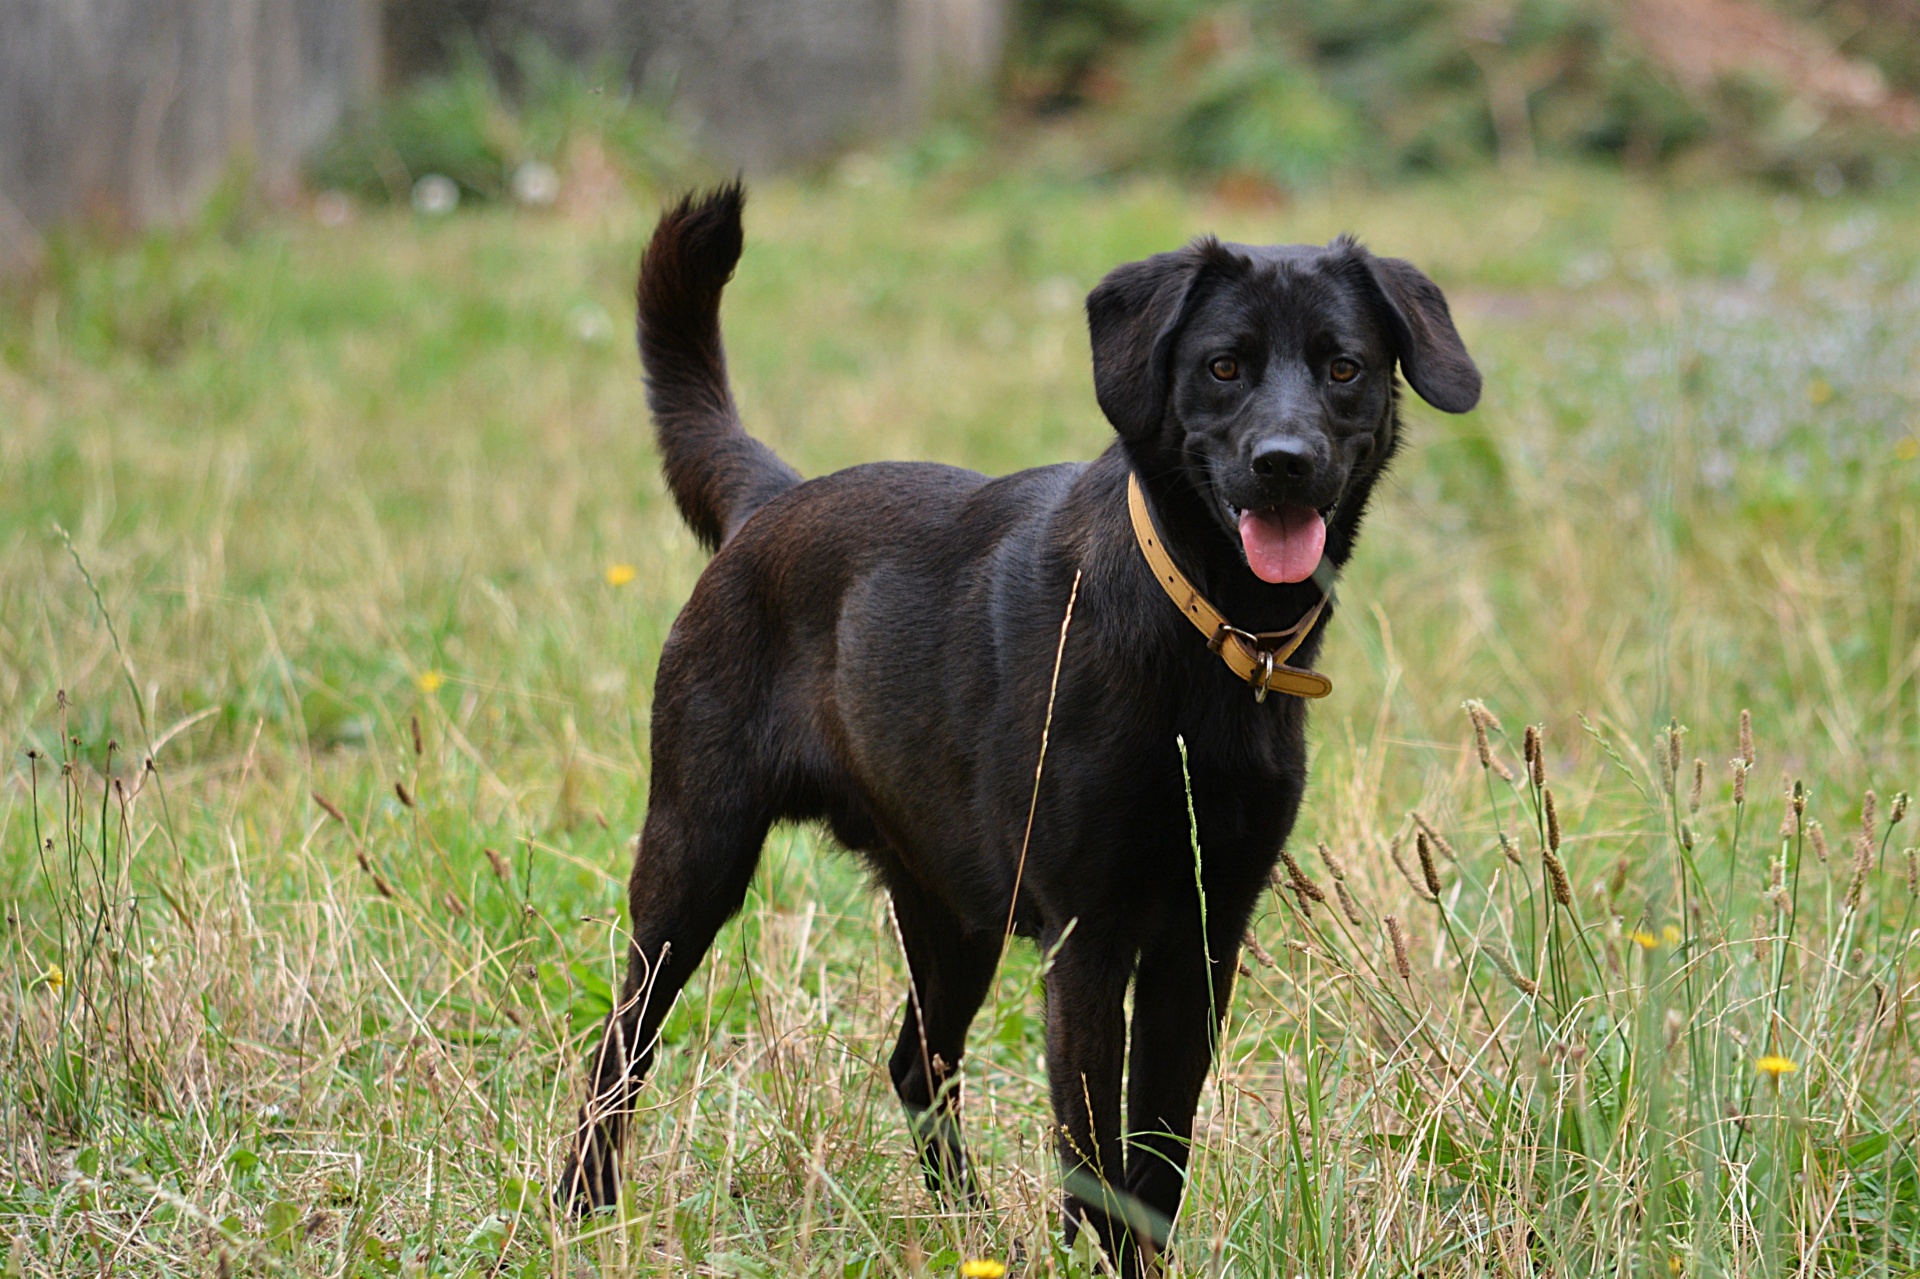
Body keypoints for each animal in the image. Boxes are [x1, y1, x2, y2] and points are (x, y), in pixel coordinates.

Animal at [560, 181, 1474, 1267]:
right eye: (1223, 365)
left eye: (1344, 367)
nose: (1284, 463)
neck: (1198, 627)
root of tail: (770, 505)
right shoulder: (1088, 941)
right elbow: (1093, 1148)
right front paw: (1097, 1257)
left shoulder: (1202, 940)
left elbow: (1156, 1152)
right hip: (692, 860)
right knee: (619, 1046)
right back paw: (580, 1203)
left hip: (950, 910)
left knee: (917, 1063)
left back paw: (971, 1226)